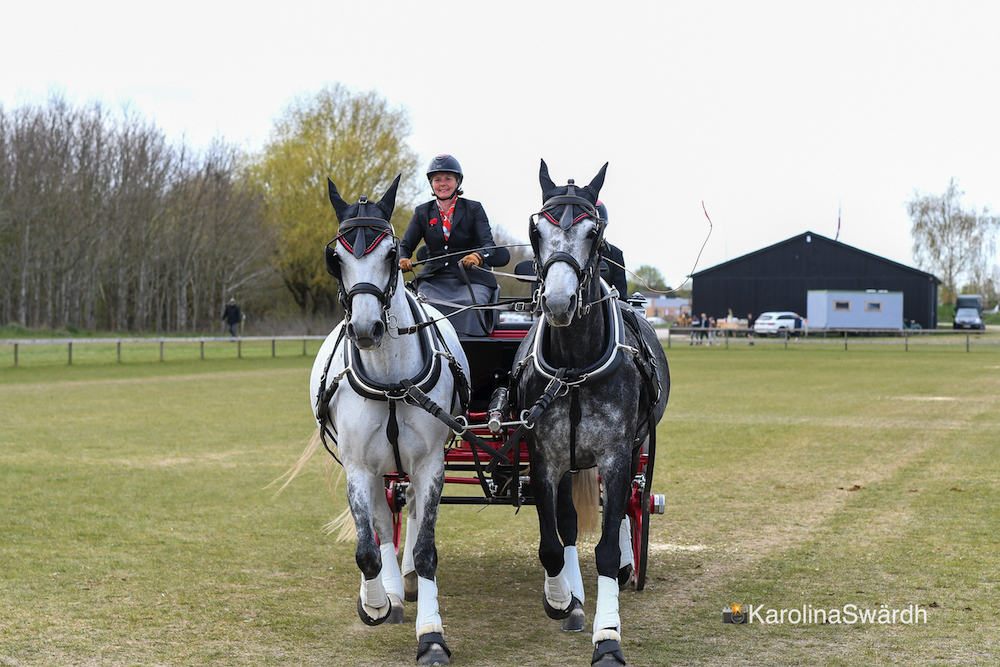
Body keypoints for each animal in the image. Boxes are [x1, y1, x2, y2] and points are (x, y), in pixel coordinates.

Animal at [304, 175, 471, 666]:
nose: (365, 330)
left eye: (390, 253)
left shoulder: (431, 463)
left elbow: (428, 546)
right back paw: (393, 591)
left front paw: (431, 635)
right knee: (382, 522)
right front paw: (375, 603)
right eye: (336, 258)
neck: (391, 380)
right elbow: (368, 547)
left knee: (410, 510)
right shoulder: (359, 467)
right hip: (378, 468)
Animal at [512, 160, 670, 666]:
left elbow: (604, 545)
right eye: (536, 230)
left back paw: (625, 566)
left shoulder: (616, 454)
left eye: (592, 231)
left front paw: (608, 636)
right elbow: (552, 542)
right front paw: (561, 600)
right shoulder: (545, 457)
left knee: (626, 510)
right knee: (567, 526)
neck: (575, 366)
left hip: (635, 446)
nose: (559, 302)